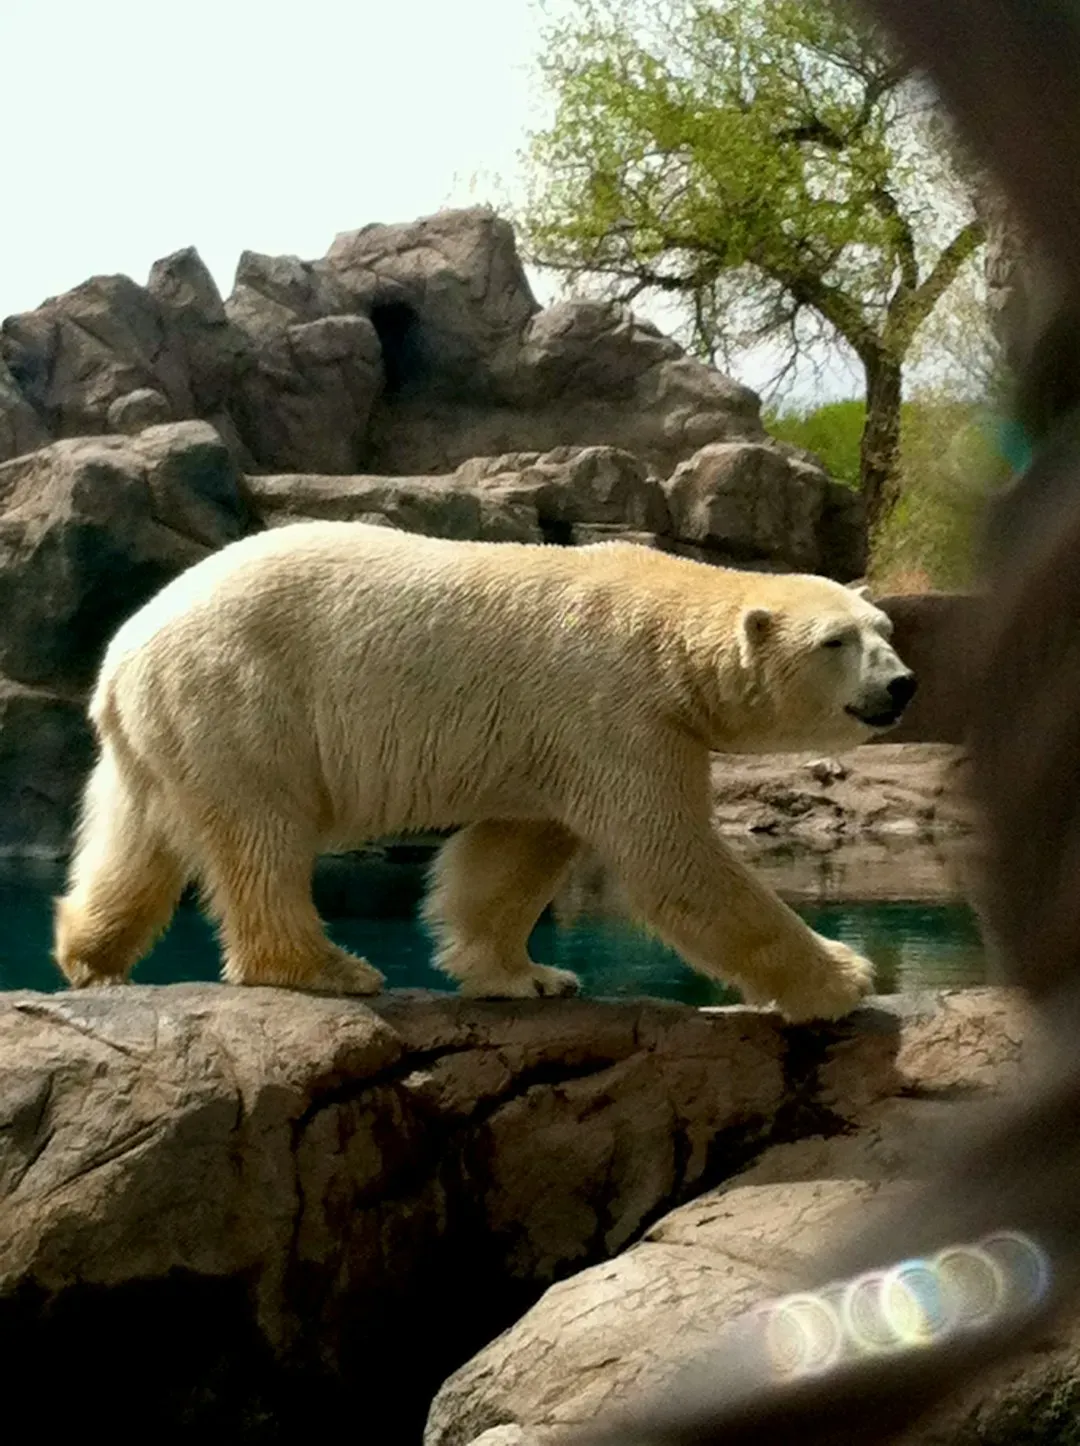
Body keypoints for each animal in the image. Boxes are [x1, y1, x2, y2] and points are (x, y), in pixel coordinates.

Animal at [54, 522, 916, 1021]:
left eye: (884, 628)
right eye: (836, 642)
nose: (902, 685)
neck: (661, 625)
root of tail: (122, 653)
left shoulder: (556, 740)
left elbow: (510, 855)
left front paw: (528, 975)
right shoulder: (614, 712)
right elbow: (671, 858)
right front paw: (843, 979)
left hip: (161, 733)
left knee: (137, 837)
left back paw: (90, 955)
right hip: (241, 696)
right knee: (262, 835)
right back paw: (327, 968)